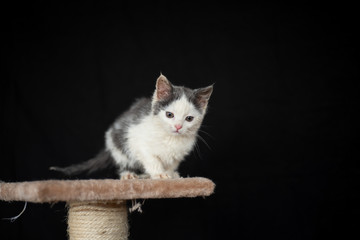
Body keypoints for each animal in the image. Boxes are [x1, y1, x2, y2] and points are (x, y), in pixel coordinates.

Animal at [51, 74, 214, 179]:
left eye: (189, 118)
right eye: (169, 115)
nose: (178, 127)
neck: (171, 138)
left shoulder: (179, 155)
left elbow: (172, 164)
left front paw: (170, 173)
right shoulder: (137, 141)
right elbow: (151, 158)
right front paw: (159, 173)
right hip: (119, 146)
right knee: (125, 162)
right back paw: (128, 174)